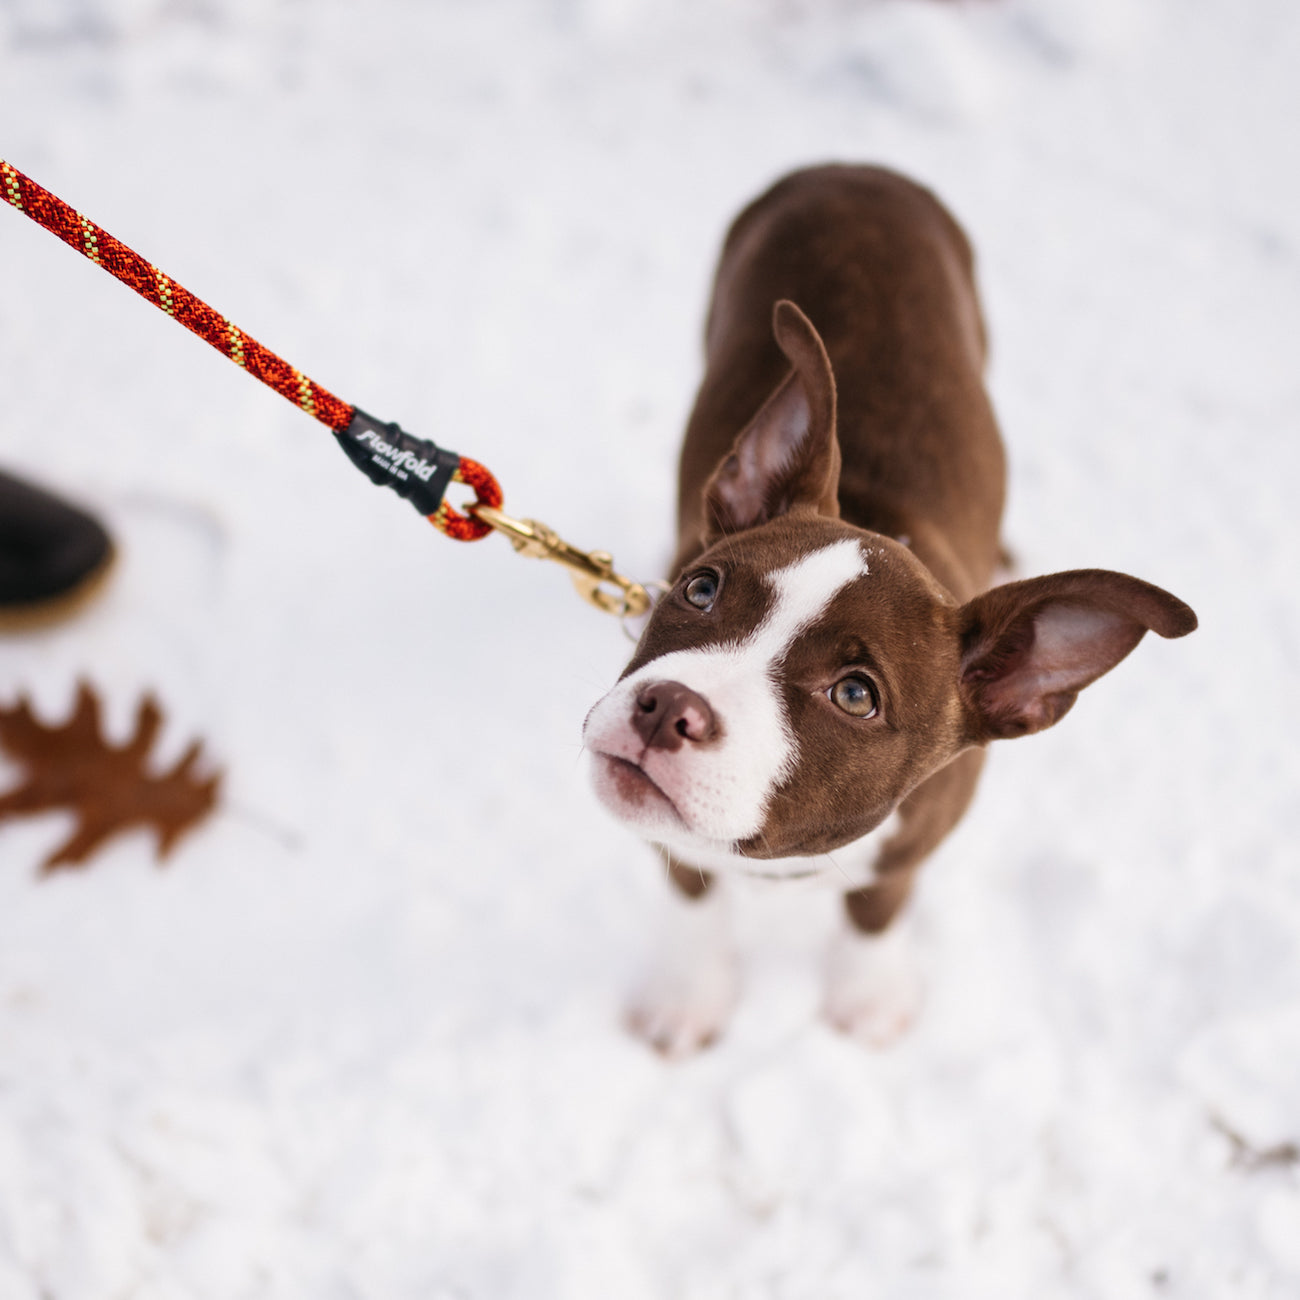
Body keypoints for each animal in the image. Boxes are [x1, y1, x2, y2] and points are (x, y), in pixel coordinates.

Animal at [585, 165, 1190, 1055]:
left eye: (856, 696)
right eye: (701, 590)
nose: (667, 707)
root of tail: (855, 168)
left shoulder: (915, 844)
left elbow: (876, 909)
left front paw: (867, 999)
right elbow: (691, 886)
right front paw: (688, 997)